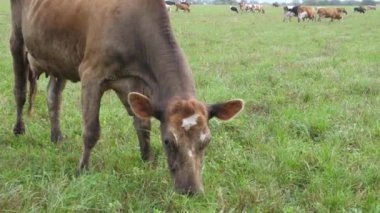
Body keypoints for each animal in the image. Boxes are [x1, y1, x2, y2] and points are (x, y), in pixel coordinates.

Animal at [11, 0, 246, 195]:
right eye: (168, 141)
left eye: (207, 141)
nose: (191, 191)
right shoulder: (91, 74)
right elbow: (91, 130)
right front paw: (82, 170)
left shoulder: (134, 84)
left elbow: (143, 126)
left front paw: (148, 161)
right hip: (17, 39)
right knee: (20, 91)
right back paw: (19, 129)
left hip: (59, 58)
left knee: (53, 96)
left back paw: (56, 136)